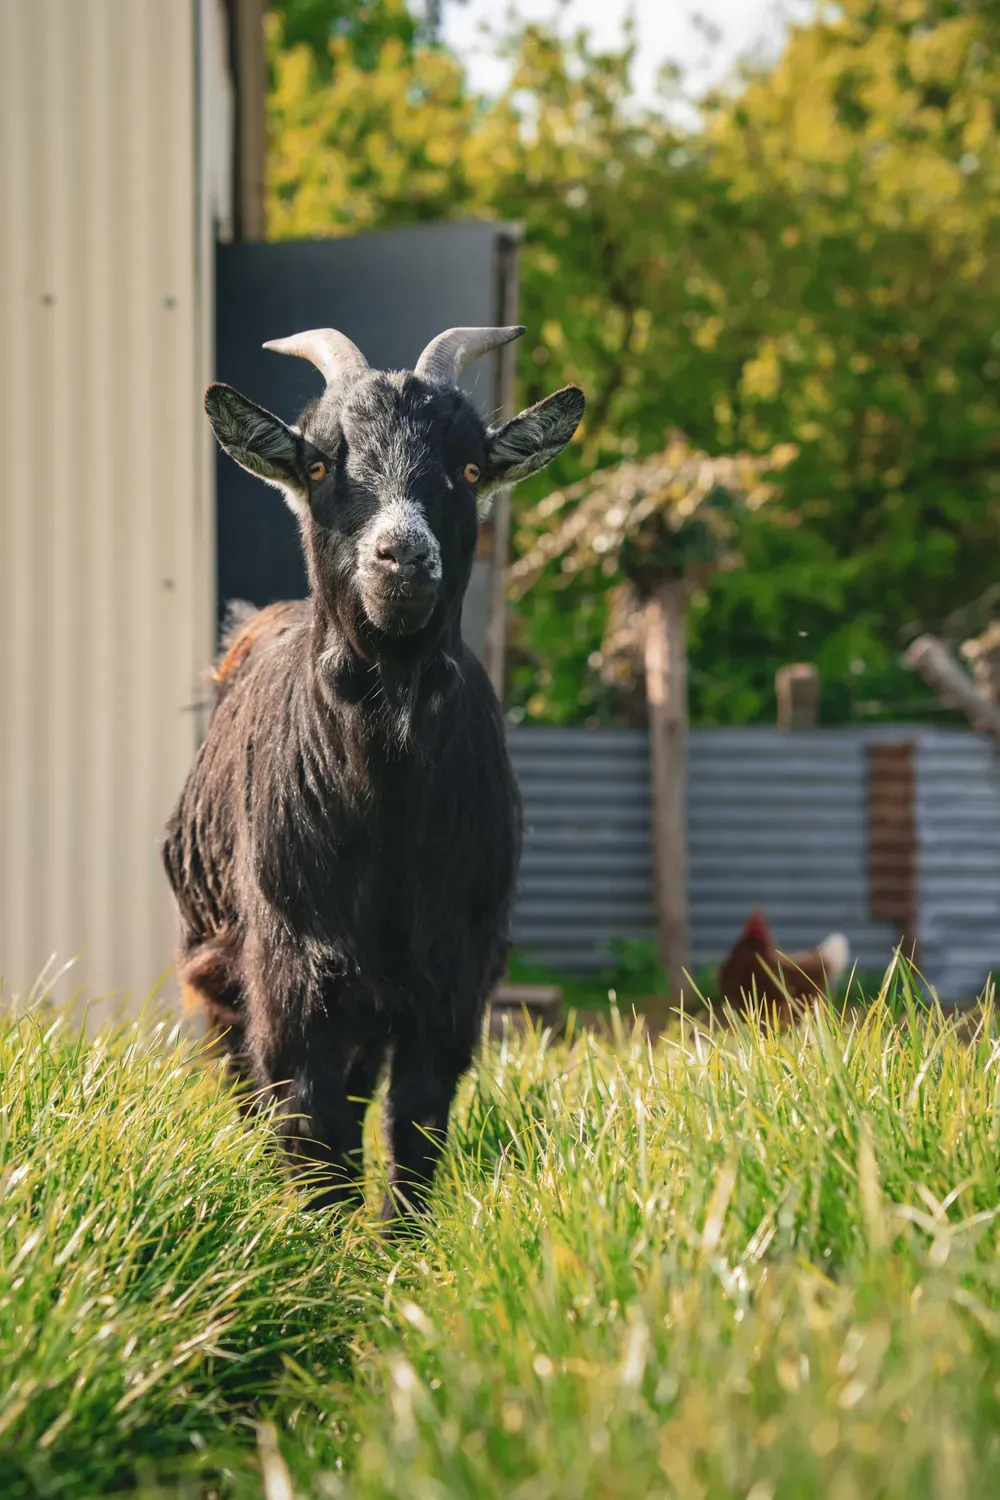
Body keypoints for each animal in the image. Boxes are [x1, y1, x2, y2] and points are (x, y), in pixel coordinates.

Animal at [163, 323, 584, 1217]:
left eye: (470, 467)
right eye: (322, 463)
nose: (402, 557)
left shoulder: (453, 977)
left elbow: (413, 1127)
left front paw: (398, 1245)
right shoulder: (292, 970)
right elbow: (309, 1128)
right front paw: (317, 1241)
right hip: (215, 964)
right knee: (246, 1087)